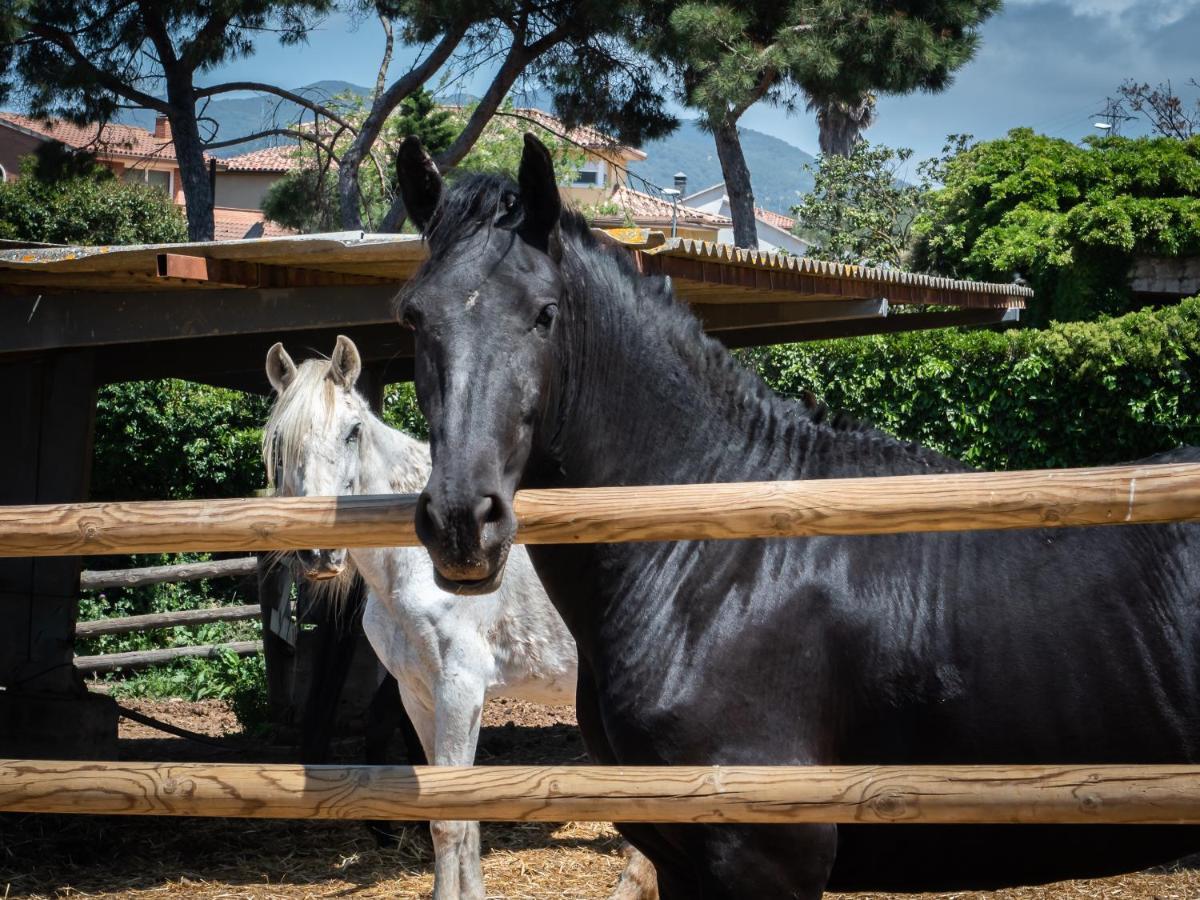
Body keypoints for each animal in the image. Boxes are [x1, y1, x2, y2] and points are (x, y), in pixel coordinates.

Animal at [265, 336, 657, 900]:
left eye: (353, 431)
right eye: (280, 443)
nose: (318, 553)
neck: (418, 563)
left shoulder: (460, 690)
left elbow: (449, 822)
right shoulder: (419, 696)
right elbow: (461, 817)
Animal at [393, 135, 1200, 900]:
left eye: (545, 313)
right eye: (414, 317)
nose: (463, 521)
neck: (720, 570)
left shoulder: (766, 860)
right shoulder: (681, 864)